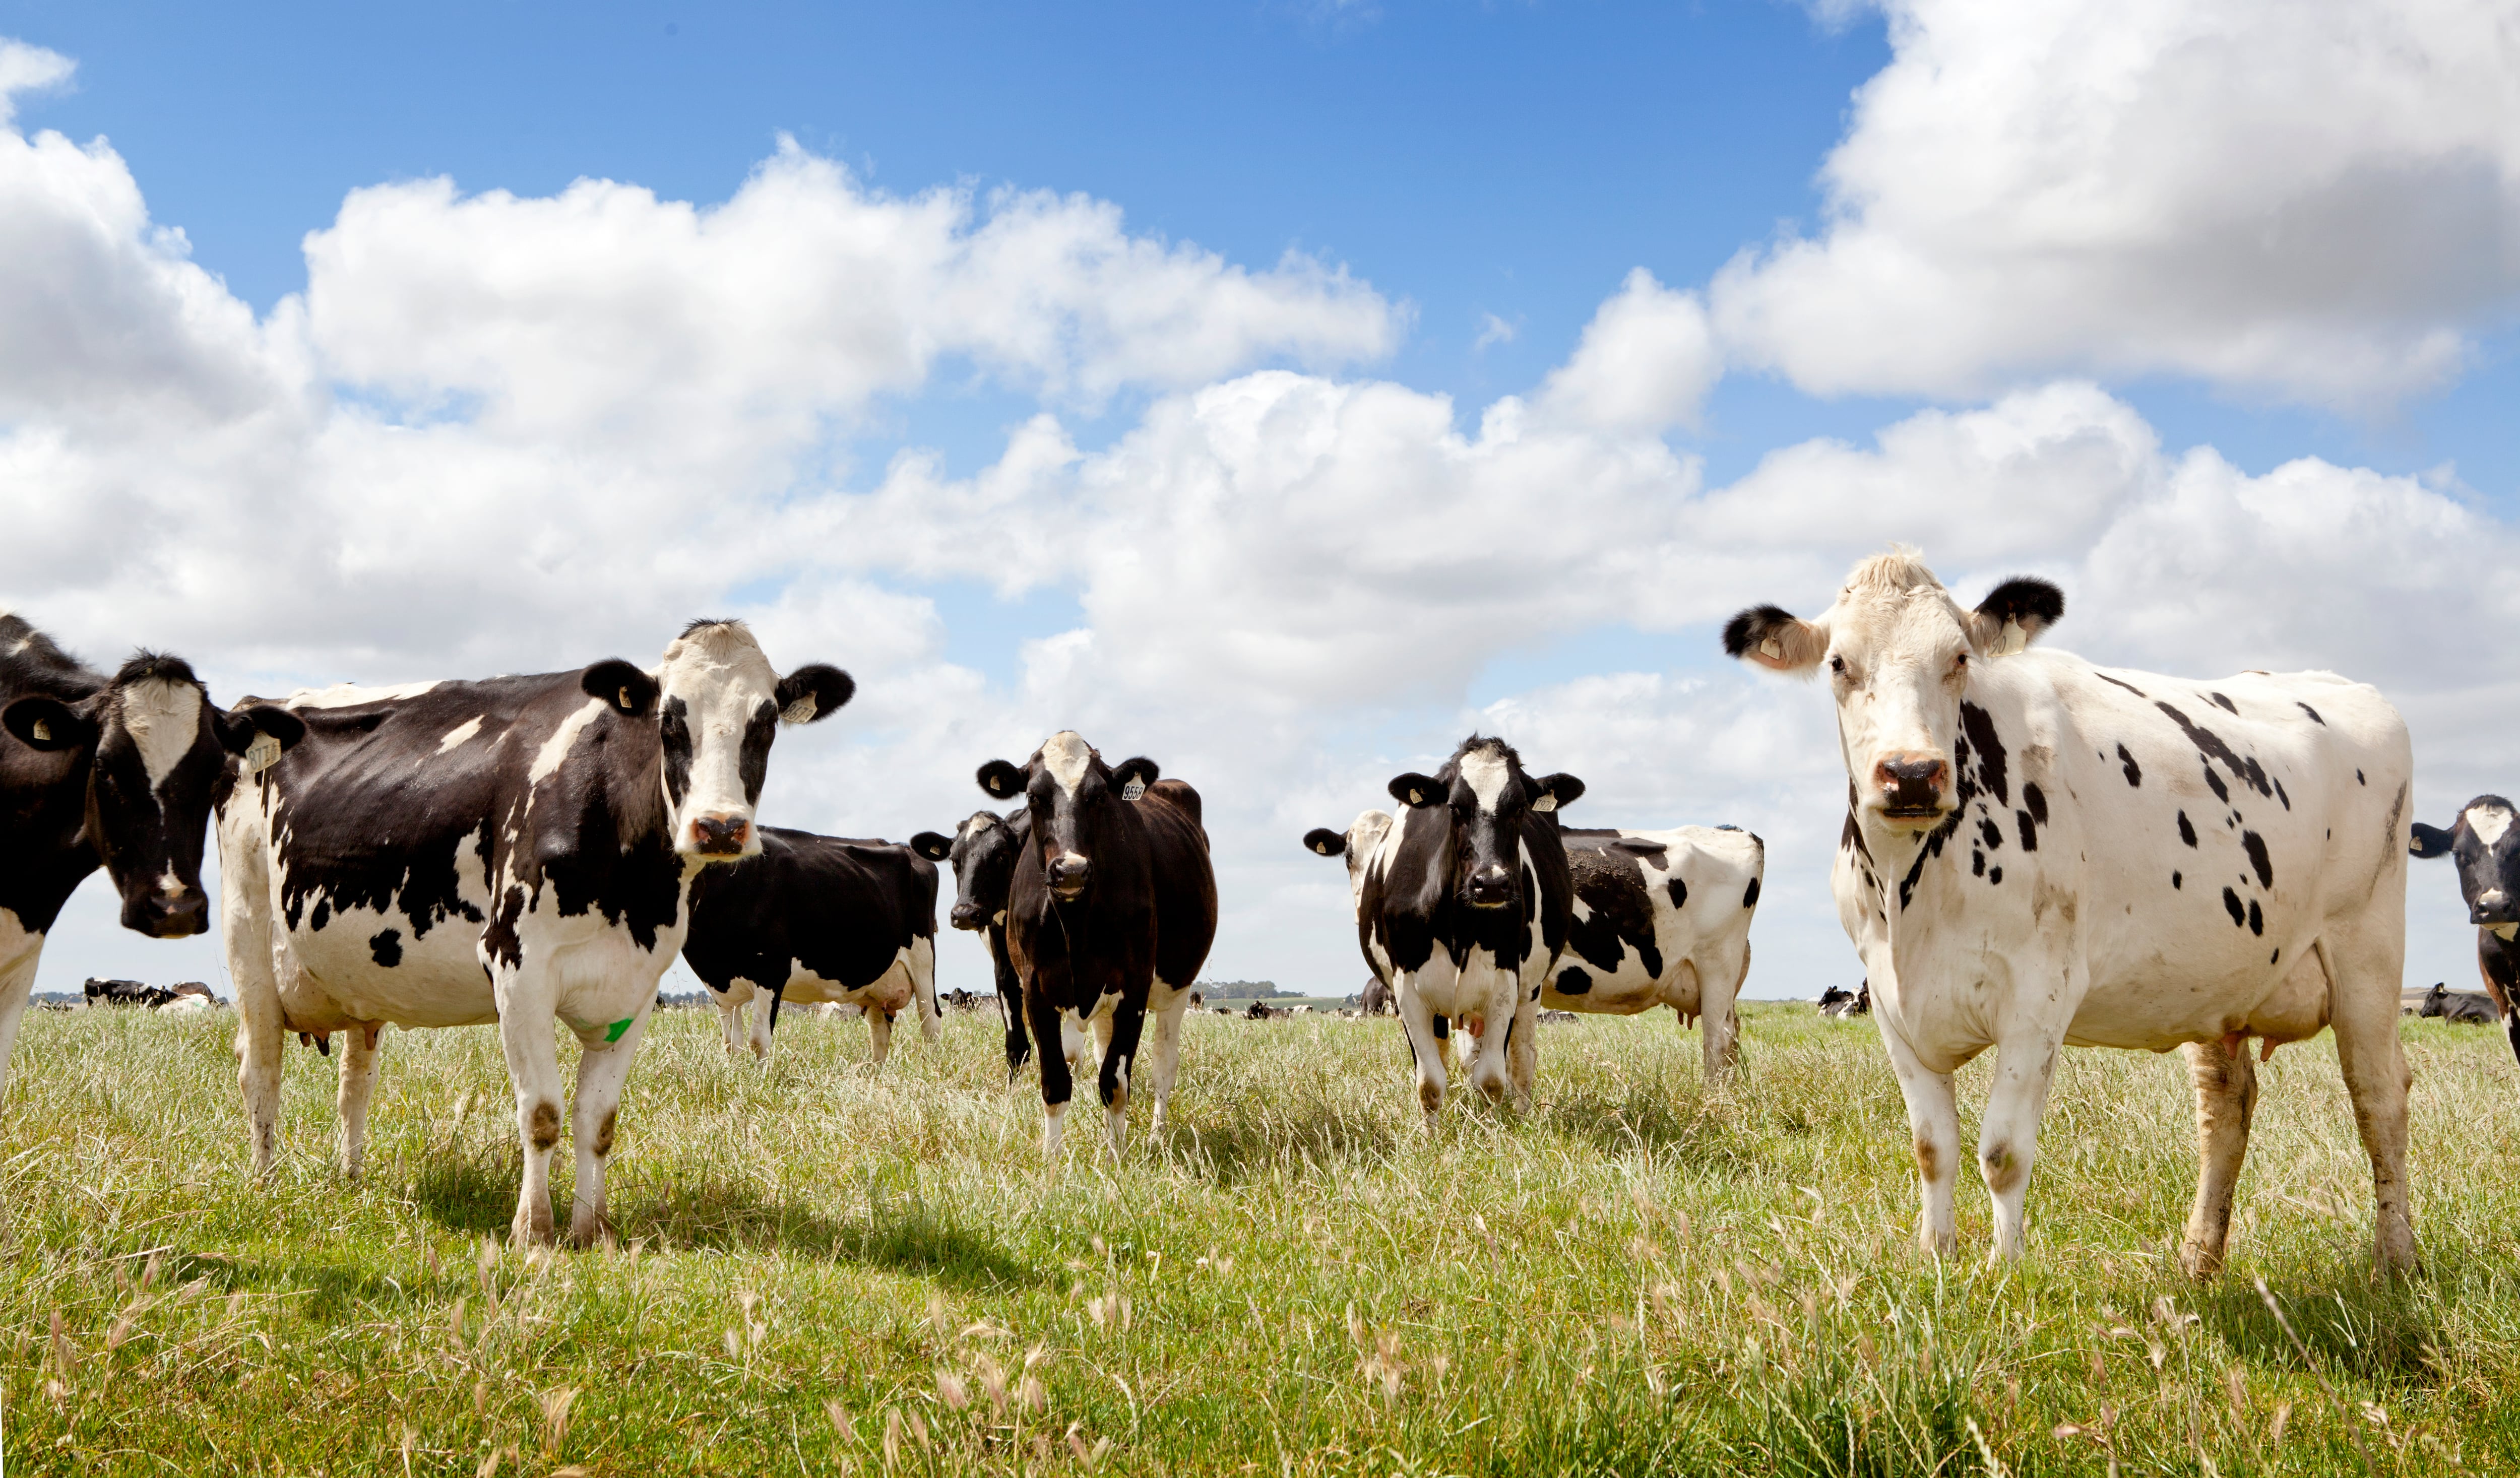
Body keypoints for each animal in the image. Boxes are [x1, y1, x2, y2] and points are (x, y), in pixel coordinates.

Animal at [216, 619, 851, 1246]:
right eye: (670, 720)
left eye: (764, 723)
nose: (719, 826)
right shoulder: (517, 965)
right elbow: (542, 1112)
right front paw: (533, 1231)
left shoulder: (637, 985)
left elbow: (598, 1121)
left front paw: (592, 1229)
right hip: (246, 930)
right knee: (260, 1066)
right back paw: (266, 1183)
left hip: (356, 976)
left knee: (355, 1080)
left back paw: (350, 1176)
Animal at [681, 827, 939, 1063]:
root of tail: (904, 847)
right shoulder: (721, 984)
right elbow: (732, 1046)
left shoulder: (771, 970)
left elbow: (758, 1042)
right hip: (877, 981)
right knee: (880, 1030)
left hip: (923, 962)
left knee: (931, 1023)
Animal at [973, 732, 1216, 1158]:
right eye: (1034, 796)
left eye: (1100, 795)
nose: (1070, 869)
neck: (1075, 923)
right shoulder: (1034, 989)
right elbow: (1056, 1081)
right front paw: (1052, 1165)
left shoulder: (1135, 987)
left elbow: (1115, 1083)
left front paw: (1117, 1161)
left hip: (1178, 987)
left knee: (1163, 1065)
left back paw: (1156, 1135)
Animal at [1298, 736, 1580, 1125]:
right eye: (1454, 807)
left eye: (1521, 807)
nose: (1491, 883)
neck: (1459, 928)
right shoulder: (1407, 993)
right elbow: (1430, 1081)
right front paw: (1430, 1135)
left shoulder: (1504, 987)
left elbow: (1491, 1079)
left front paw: (1492, 1130)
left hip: (1529, 990)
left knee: (1521, 1059)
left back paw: (1522, 1112)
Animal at [1725, 548, 2415, 1277]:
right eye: (1839, 663)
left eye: (1959, 658)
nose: (1911, 773)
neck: (1909, 891)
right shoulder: (1889, 1000)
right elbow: (1932, 1146)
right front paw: (1935, 1258)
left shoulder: (2039, 995)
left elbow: (2001, 1153)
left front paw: (2005, 1273)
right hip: (2218, 977)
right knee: (2227, 1103)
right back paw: (2198, 1259)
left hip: (2367, 954)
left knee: (2379, 1096)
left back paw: (2394, 1260)